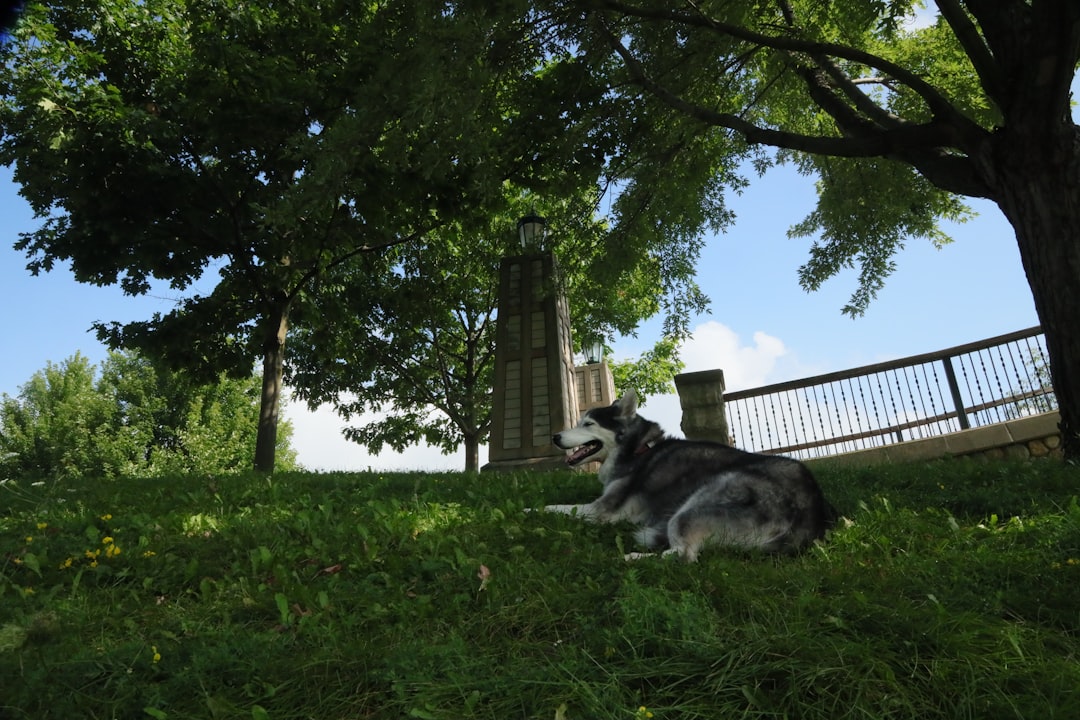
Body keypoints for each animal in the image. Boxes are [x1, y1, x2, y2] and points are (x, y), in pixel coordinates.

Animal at [548, 388, 833, 561]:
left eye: (588, 424)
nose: (555, 437)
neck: (637, 449)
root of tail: (810, 509)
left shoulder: (601, 511)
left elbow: (556, 507)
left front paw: (538, 510)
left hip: (694, 505)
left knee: (681, 556)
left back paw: (635, 558)